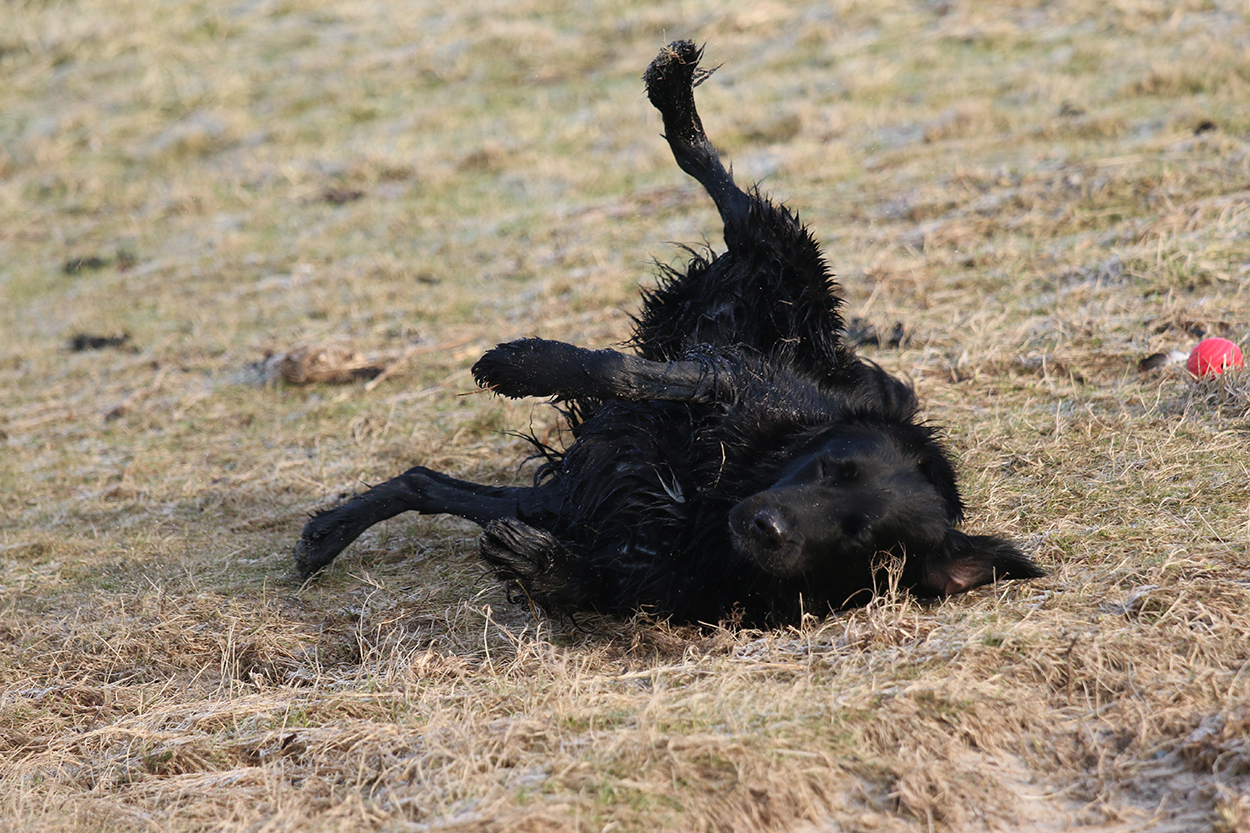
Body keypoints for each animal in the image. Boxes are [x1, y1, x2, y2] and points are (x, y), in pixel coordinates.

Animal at [294, 40, 1043, 626]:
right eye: (834, 468)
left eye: (862, 538)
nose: (767, 526)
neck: (717, 495)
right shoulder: (726, 382)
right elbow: (620, 373)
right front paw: (520, 363)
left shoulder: (638, 552)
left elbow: (585, 572)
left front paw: (535, 561)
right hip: (784, 274)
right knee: (723, 190)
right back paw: (673, 86)